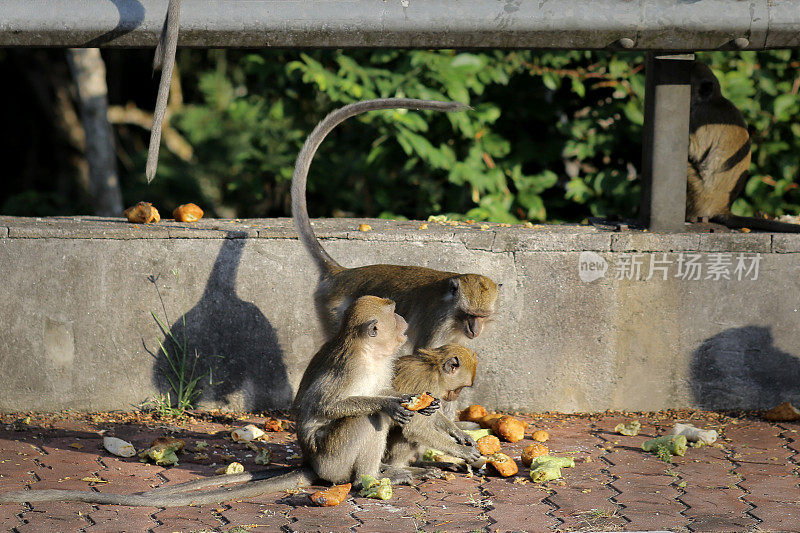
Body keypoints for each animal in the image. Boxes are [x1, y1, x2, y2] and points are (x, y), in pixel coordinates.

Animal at [0, 298, 438, 504]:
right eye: (394, 314)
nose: (404, 322)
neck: (371, 353)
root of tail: (310, 463)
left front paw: (418, 403)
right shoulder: (351, 366)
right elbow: (331, 407)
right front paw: (389, 406)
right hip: (333, 459)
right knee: (364, 422)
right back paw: (367, 480)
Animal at [288, 97, 500, 352]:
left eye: (482, 316)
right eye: (469, 314)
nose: (475, 329)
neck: (451, 305)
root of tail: (341, 274)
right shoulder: (438, 320)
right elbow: (425, 351)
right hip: (334, 310)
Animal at [386, 340, 484, 470]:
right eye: (461, 387)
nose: (457, 396)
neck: (435, 371)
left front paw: (460, 433)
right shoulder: (426, 385)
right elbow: (415, 429)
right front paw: (463, 450)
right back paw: (400, 468)